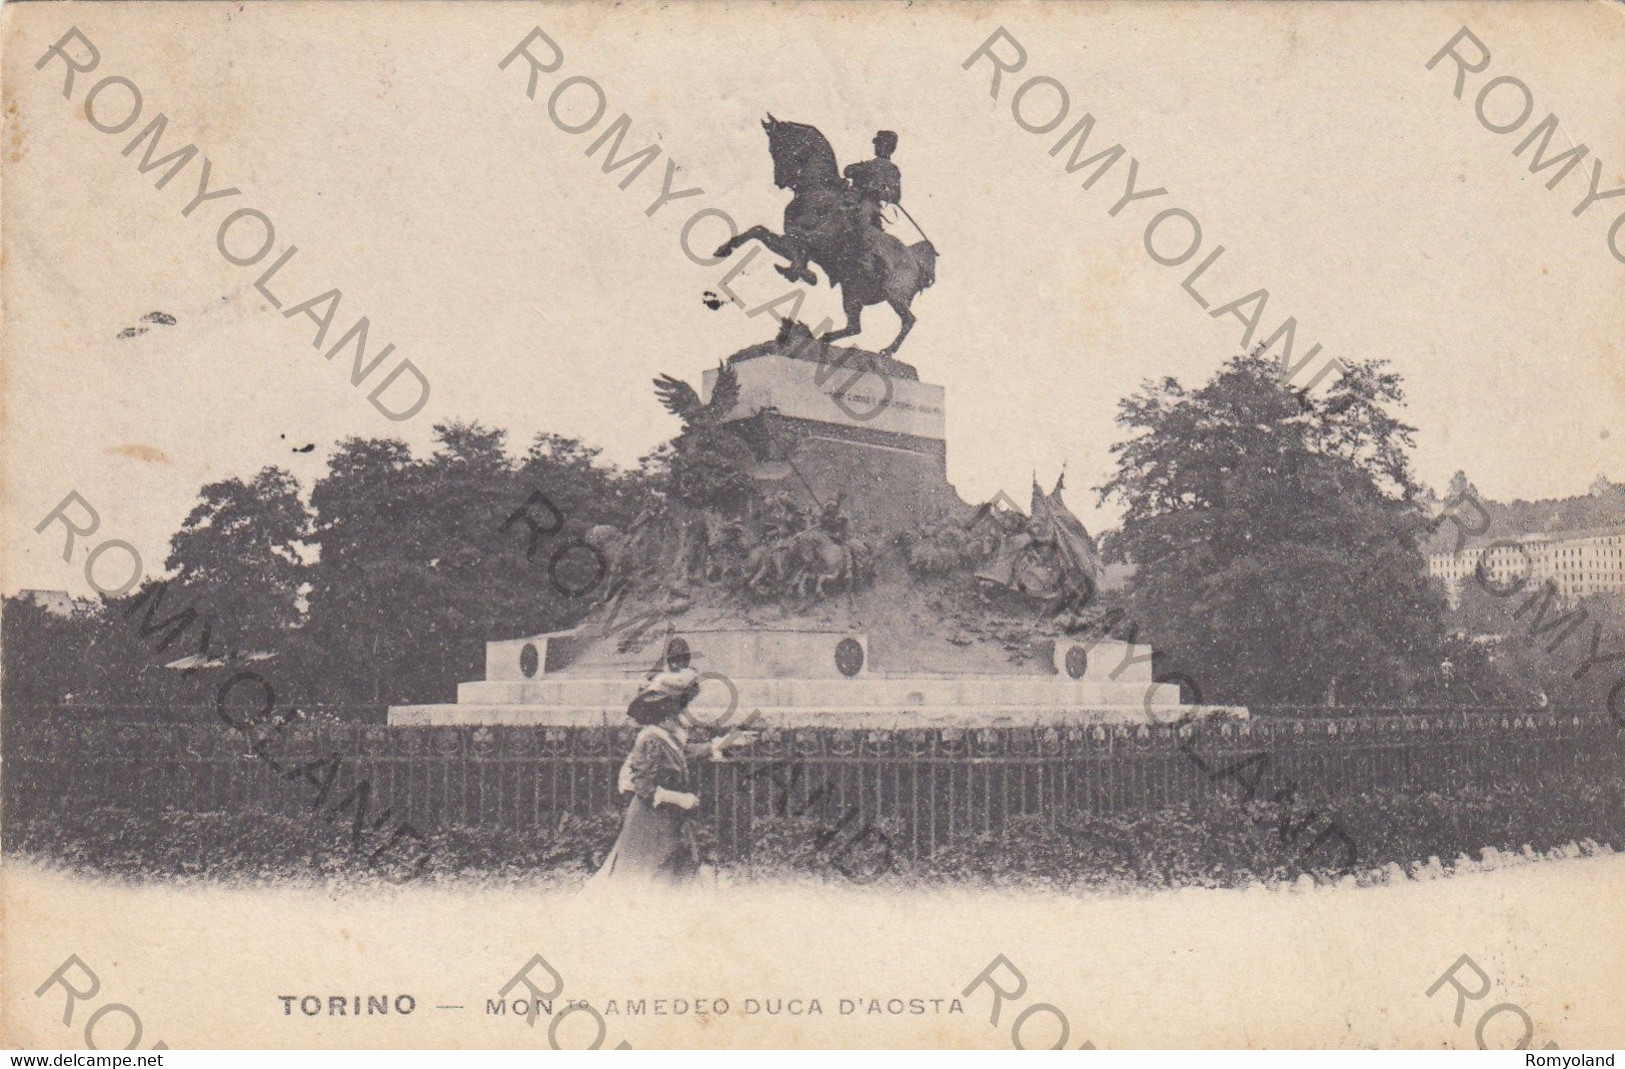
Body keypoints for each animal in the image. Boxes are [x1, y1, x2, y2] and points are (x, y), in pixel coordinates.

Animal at [715, 118, 942, 355]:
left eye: (777, 147)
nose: (779, 181)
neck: (817, 191)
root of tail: (918, 262)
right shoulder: (793, 240)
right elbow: (760, 232)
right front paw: (725, 249)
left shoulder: (813, 241)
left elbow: (794, 247)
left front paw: (801, 274)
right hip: (852, 291)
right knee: (855, 327)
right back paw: (822, 337)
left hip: (893, 293)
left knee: (908, 320)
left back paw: (887, 350)